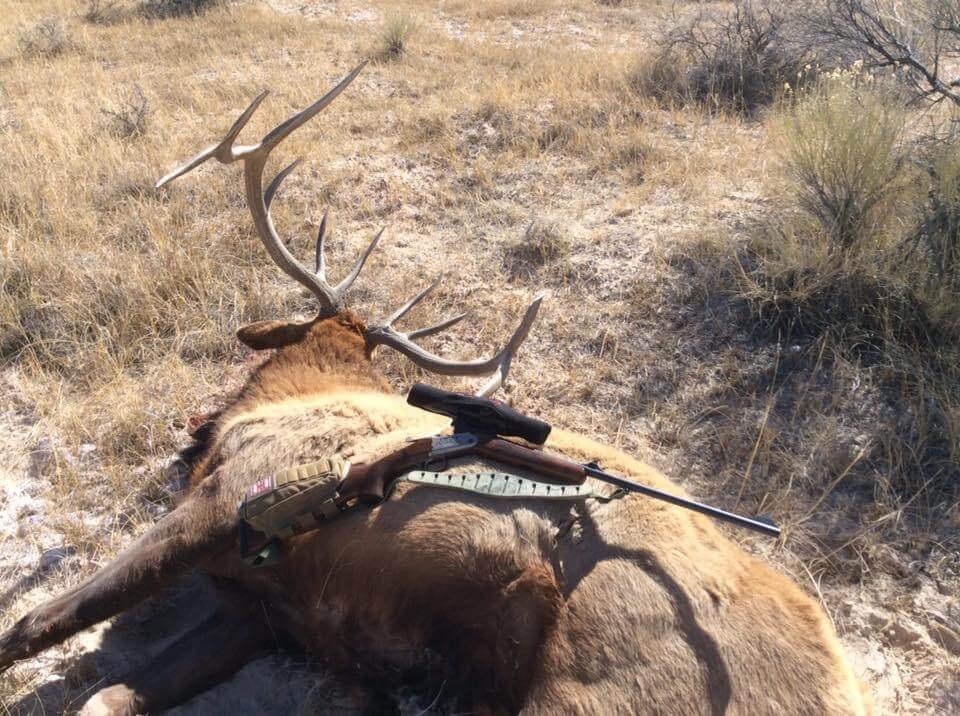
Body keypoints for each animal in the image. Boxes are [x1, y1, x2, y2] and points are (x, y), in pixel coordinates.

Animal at [0, 64, 869, 715]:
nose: (187, 430)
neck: (273, 401)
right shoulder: (255, 609)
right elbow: (109, 695)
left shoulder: (228, 500)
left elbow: (40, 621)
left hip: (598, 688)